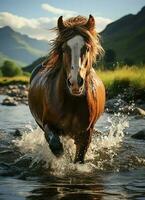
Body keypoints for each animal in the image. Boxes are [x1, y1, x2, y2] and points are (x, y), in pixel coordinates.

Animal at [28, 14, 105, 163]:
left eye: (86, 48)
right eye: (64, 49)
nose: (75, 82)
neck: (72, 103)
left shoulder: (85, 134)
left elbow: (79, 158)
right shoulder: (47, 124)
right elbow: (55, 144)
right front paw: (60, 155)